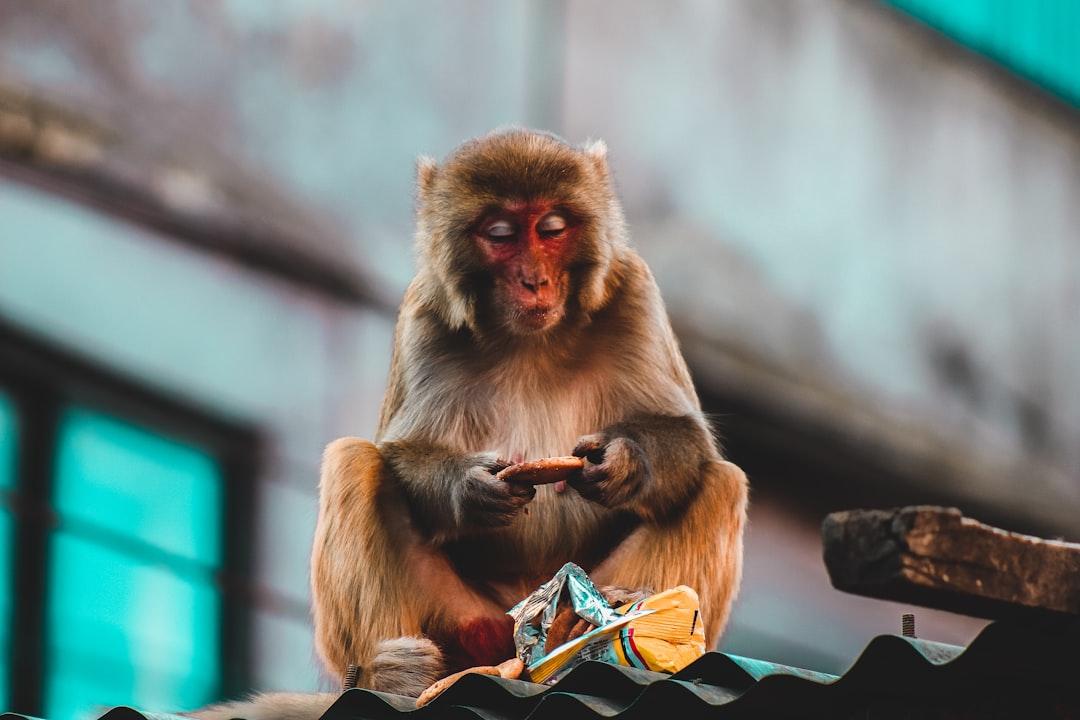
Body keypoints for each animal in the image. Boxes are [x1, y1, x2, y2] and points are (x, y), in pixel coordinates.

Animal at [191, 129, 747, 720]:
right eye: (500, 235)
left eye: (552, 228)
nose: (534, 281)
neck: (532, 341)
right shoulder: (425, 311)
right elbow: (404, 451)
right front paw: (469, 488)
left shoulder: (633, 290)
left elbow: (687, 439)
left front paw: (622, 464)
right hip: (459, 619)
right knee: (354, 461)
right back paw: (388, 675)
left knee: (720, 481)